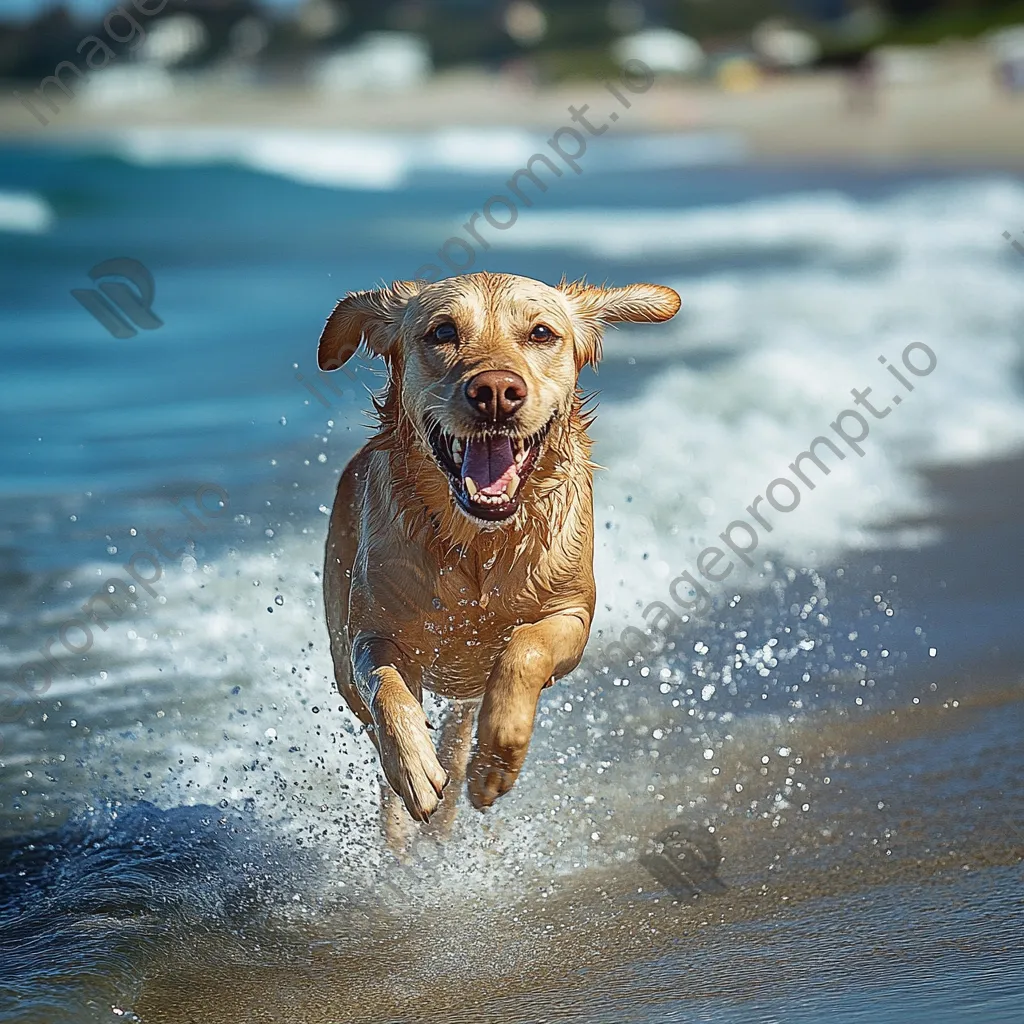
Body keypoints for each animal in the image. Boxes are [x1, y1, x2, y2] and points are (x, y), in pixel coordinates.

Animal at [319, 272, 679, 839]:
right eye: (443, 331)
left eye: (541, 333)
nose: (494, 392)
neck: (480, 542)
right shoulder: (371, 633)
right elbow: (386, 690)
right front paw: (415, 768)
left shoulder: (571, 615)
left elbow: (523, 651)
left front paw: (493, 762)